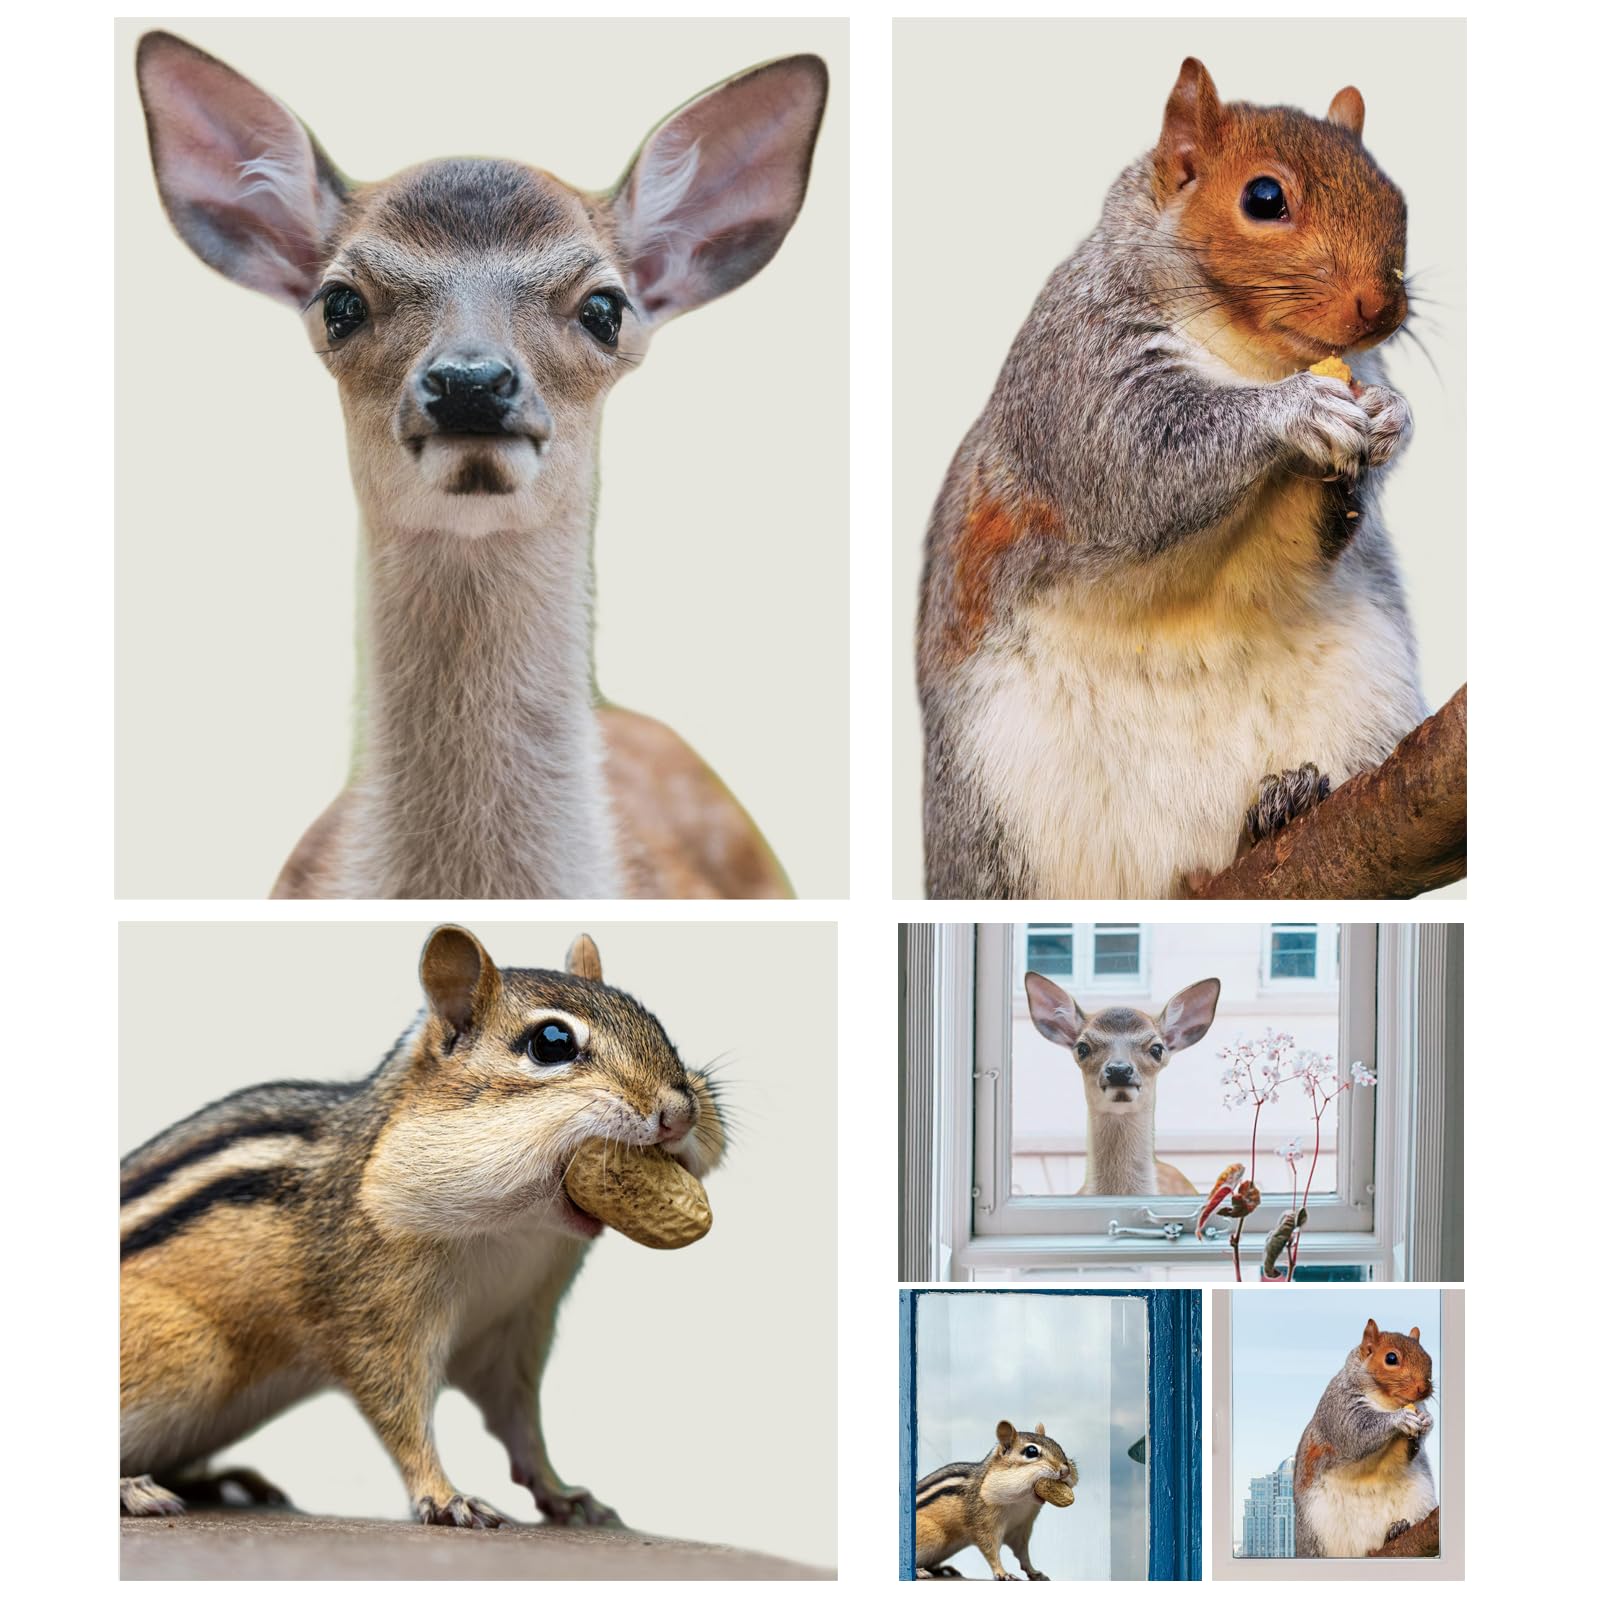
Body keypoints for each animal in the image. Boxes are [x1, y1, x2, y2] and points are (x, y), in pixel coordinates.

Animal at [119, 926, 723, 1528]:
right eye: (551, 1042)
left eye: (651, 1018)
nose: (680, 1112)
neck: (516, 1234)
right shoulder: (373, 1311)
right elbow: (400, 1411)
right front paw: (446, 1496)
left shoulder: (512, 1330)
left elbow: (521, 1425)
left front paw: (564, 1494)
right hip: (191, 1349)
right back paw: (135, 1488)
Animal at [916, 1420, 1078, 1580]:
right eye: (1031, 1451)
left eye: (1058, 1445)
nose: (1066, 1470)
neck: (1021, 1503)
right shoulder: (983, 1522)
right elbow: (991, 1550)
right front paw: (1002, 1573)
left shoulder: (1020, 1528)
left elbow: (1023, 1553)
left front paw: (1034, 1572)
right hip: (934, 1534)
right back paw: (920, 1571)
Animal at [918, 57, 1425, 898]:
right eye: (1263, 198)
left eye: (1397, 198)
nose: (1381, 308)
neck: (1250, 355)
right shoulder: (1076, 377)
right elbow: (1142, 460)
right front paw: (1293, 408)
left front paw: (1392, 416)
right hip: (994, 825)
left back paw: (1281, 805)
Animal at [1292, 1317, 1437, 1557]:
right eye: (1391, 1358)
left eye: (1428, 1358)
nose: (1424, 1390)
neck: (1387, 1402)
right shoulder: (1339, 1408)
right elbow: (1356, 1433)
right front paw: (1399, 1418)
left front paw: (1427, 1420)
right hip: (1316, 1531)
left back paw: (1396, 1530)